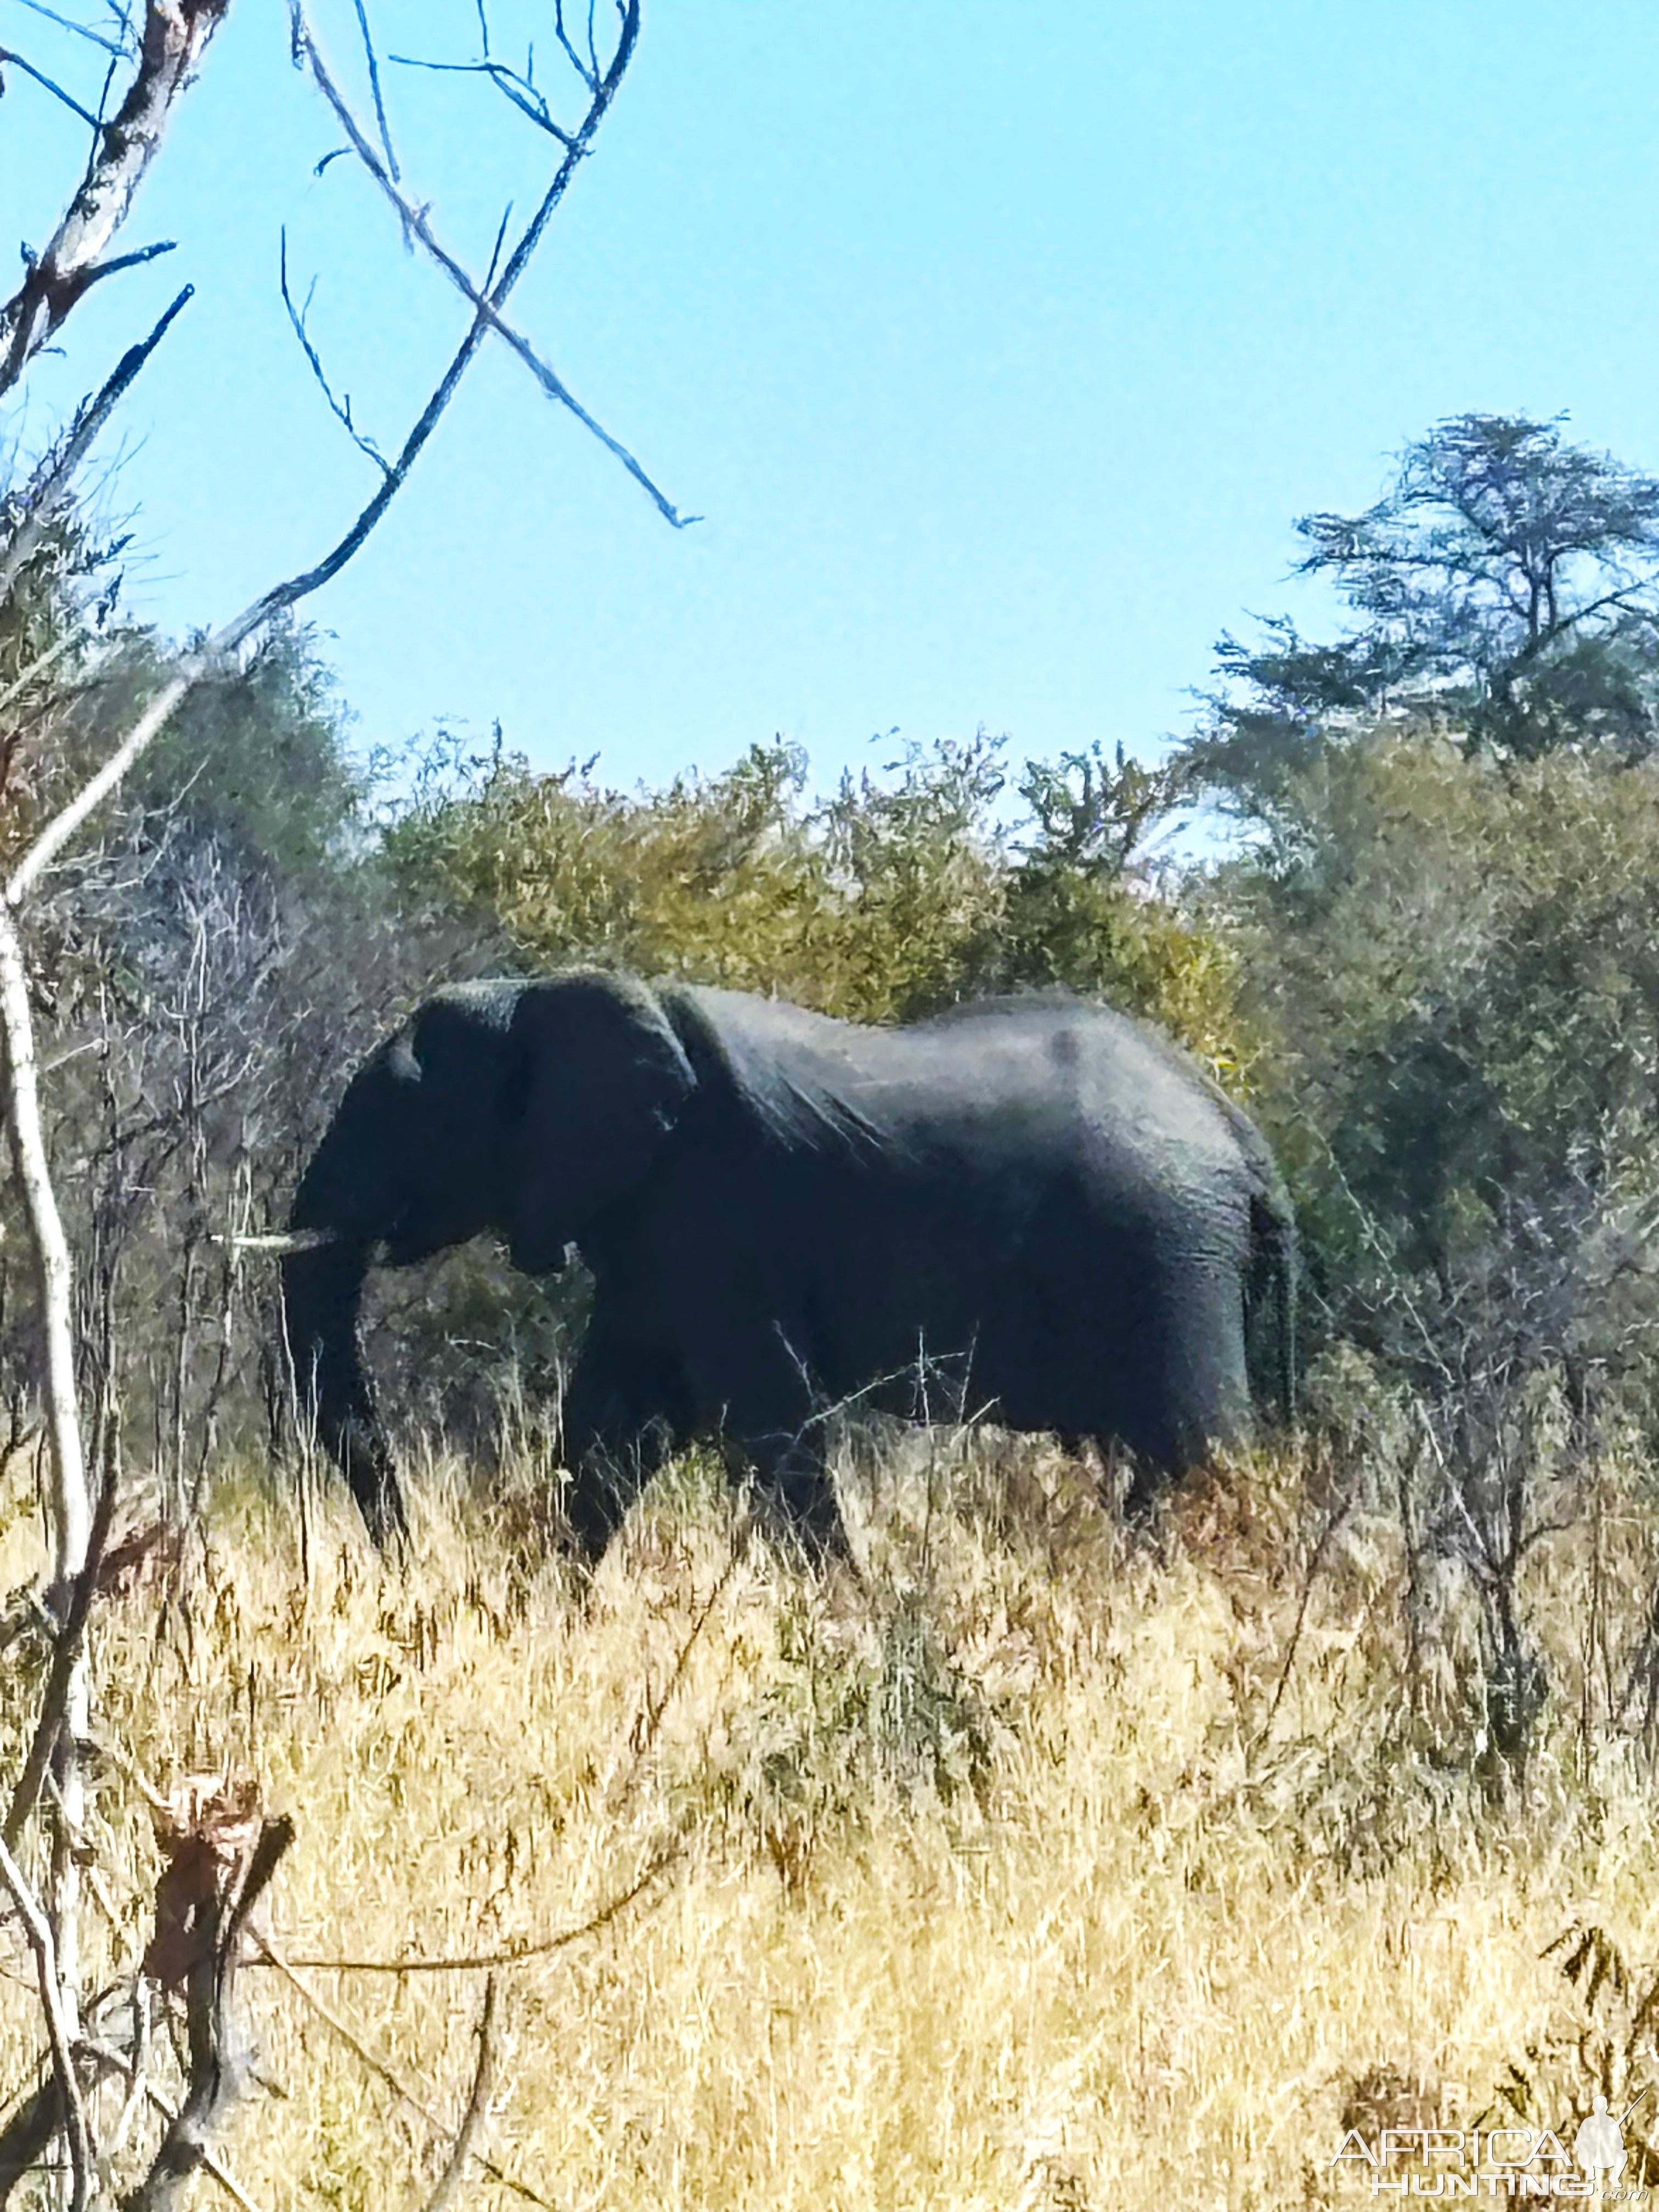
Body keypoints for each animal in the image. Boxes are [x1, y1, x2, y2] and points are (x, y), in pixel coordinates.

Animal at [285, 969, 1300, 1557]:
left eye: (410, 1112)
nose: (410, 1561)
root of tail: (1242, 1134)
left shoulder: (721, 1208)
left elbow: (763, 1419)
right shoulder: (656, 1232)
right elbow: (612, 1422)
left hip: (1171, 1260)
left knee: (1192, 1453)